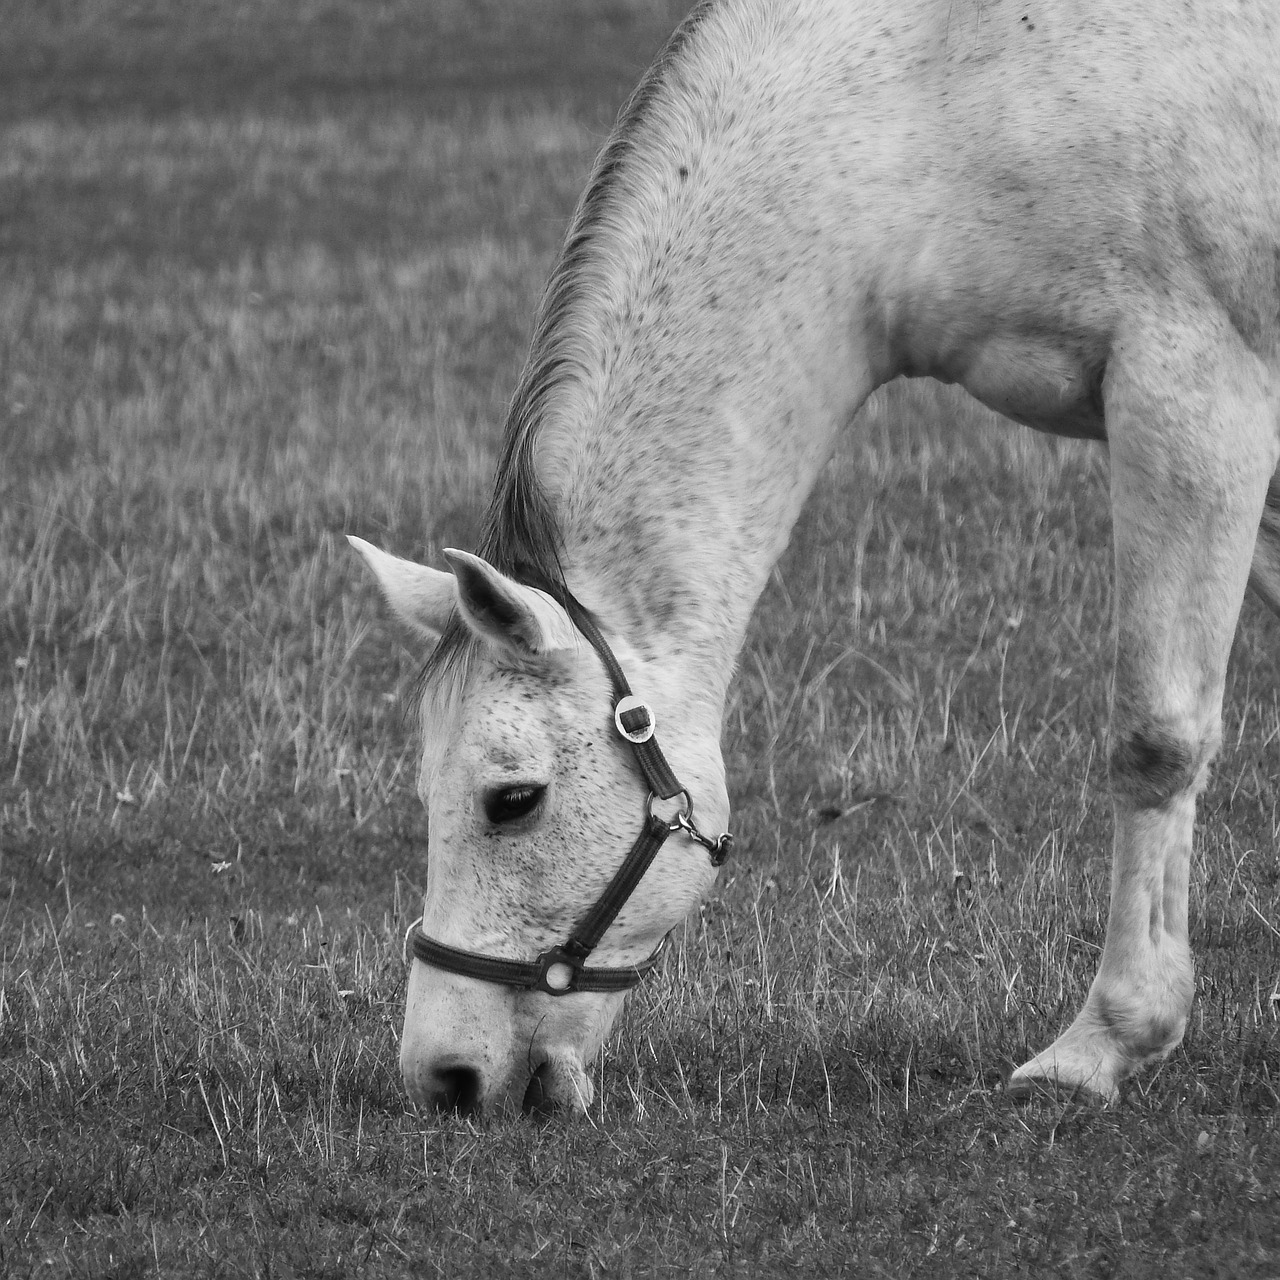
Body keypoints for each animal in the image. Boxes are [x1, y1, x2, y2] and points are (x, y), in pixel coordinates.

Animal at [348, 0, 1280, 1116]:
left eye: (513, 799)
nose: (443, 1076)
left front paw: (1100, 1044)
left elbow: (1155, 738)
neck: (937, 96)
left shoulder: (1193, 397)